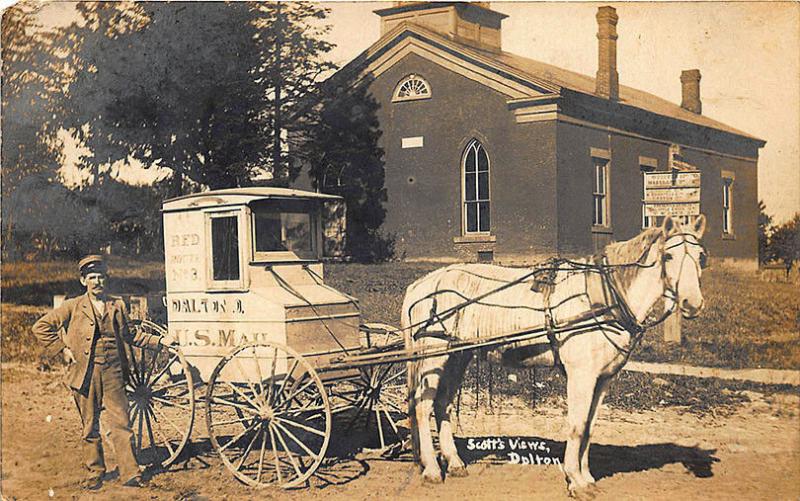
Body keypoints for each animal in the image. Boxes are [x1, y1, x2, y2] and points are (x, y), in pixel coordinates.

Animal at [400, 214, 708, 492]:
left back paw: (453, 462)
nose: (692, 303)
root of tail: (422, 284)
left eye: (701, 256)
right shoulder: (581, 375)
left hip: (457, 356)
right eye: (669, 256)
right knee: (423, 405)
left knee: (442, 403)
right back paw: (431, 469)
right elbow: (577, 425)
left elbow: (589, 426)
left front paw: (587, 477)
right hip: (433, 355)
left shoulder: (603, 379)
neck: (603, 298)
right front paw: (575, 480)